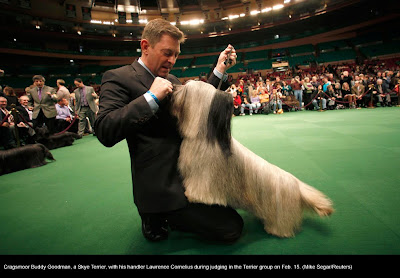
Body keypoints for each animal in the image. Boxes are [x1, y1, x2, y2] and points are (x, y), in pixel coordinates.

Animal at [170, 81, 332, 237]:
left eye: (186, 89)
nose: (173, 87)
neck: (204, 137)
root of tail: (297, 185)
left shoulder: (205, 175)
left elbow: (200, 188)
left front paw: (192, 195)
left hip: (280, 212)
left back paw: (277, 231)